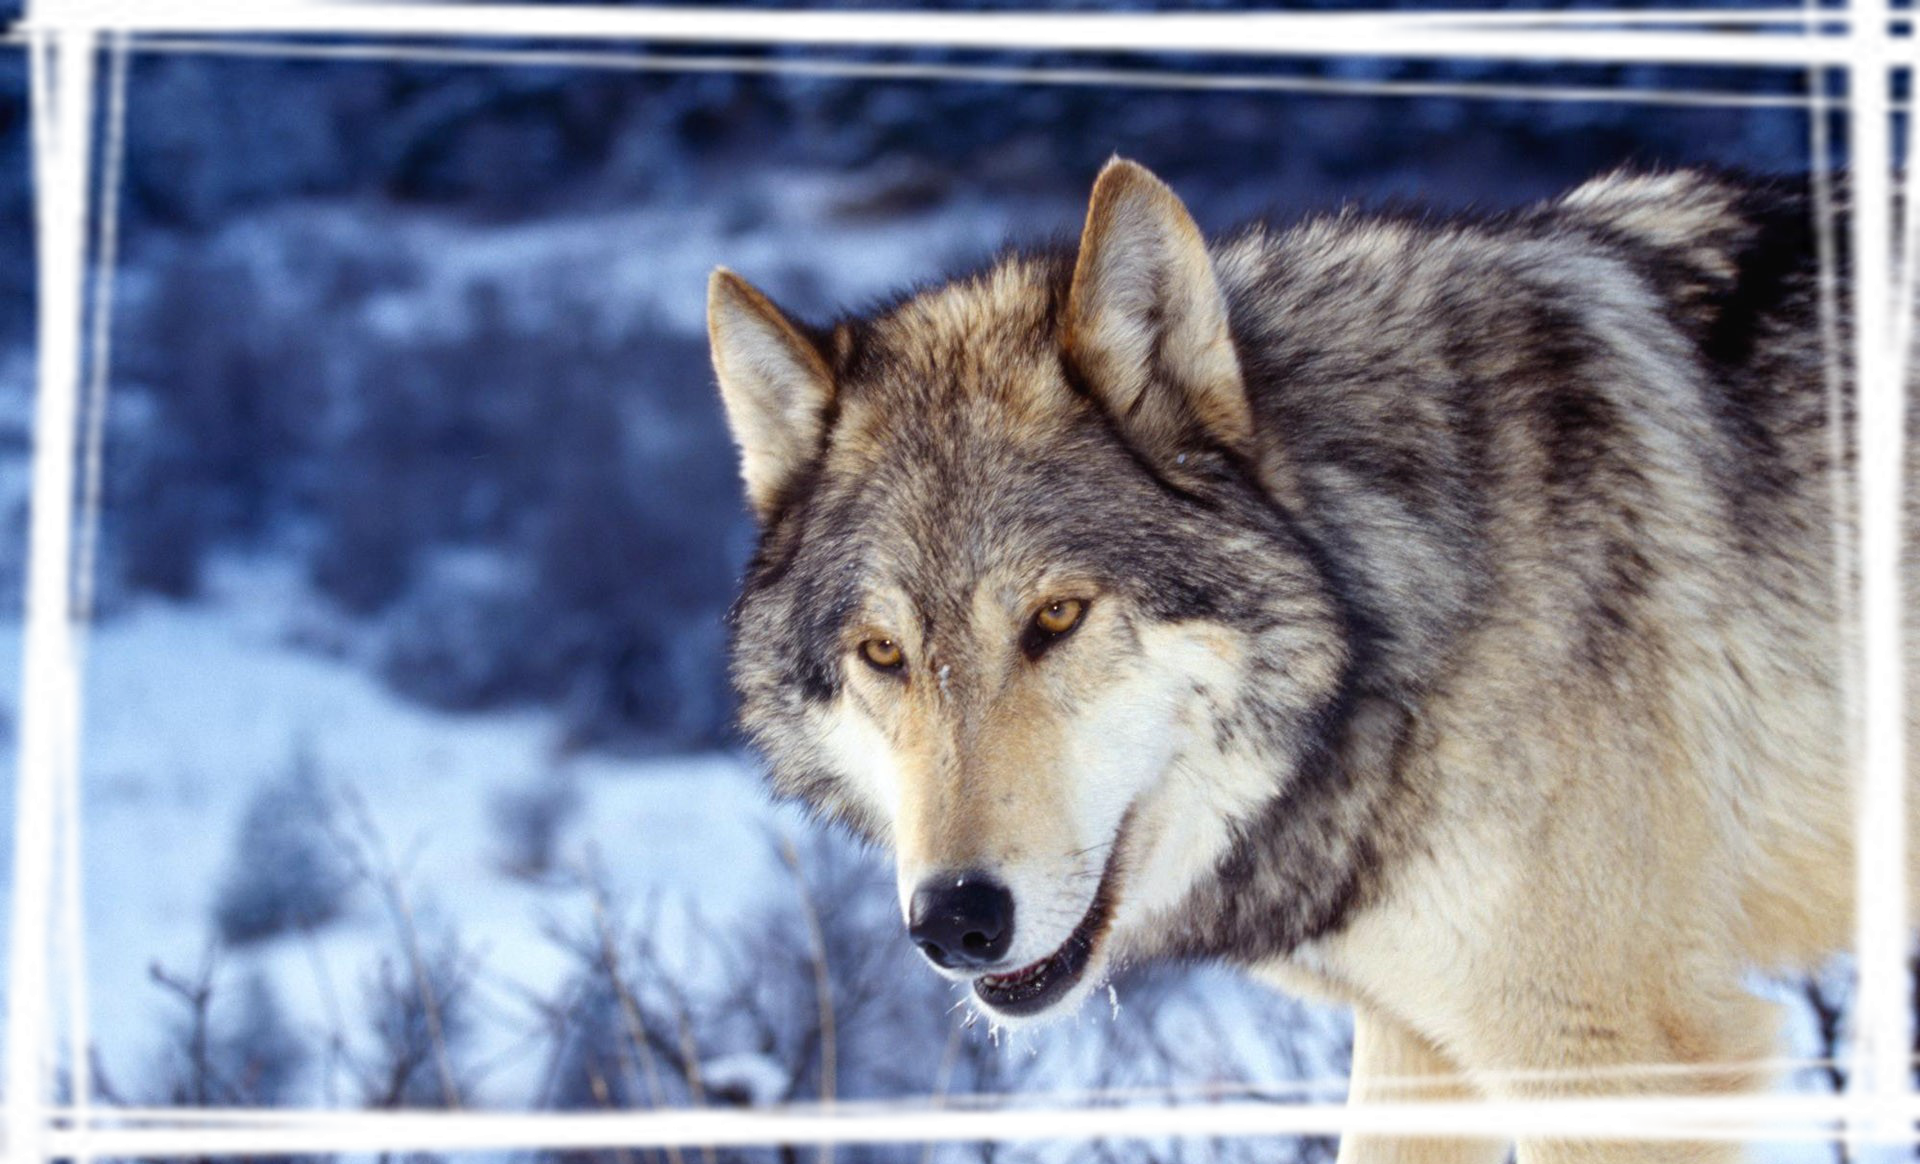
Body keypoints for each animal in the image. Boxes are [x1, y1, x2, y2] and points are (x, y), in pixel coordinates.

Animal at [710, 157, 1920, 1164]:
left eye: (1056, 616)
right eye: (883, 653)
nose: (957, 920)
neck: (1402, 607)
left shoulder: (1621, 1061)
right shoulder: (1416, 1043)